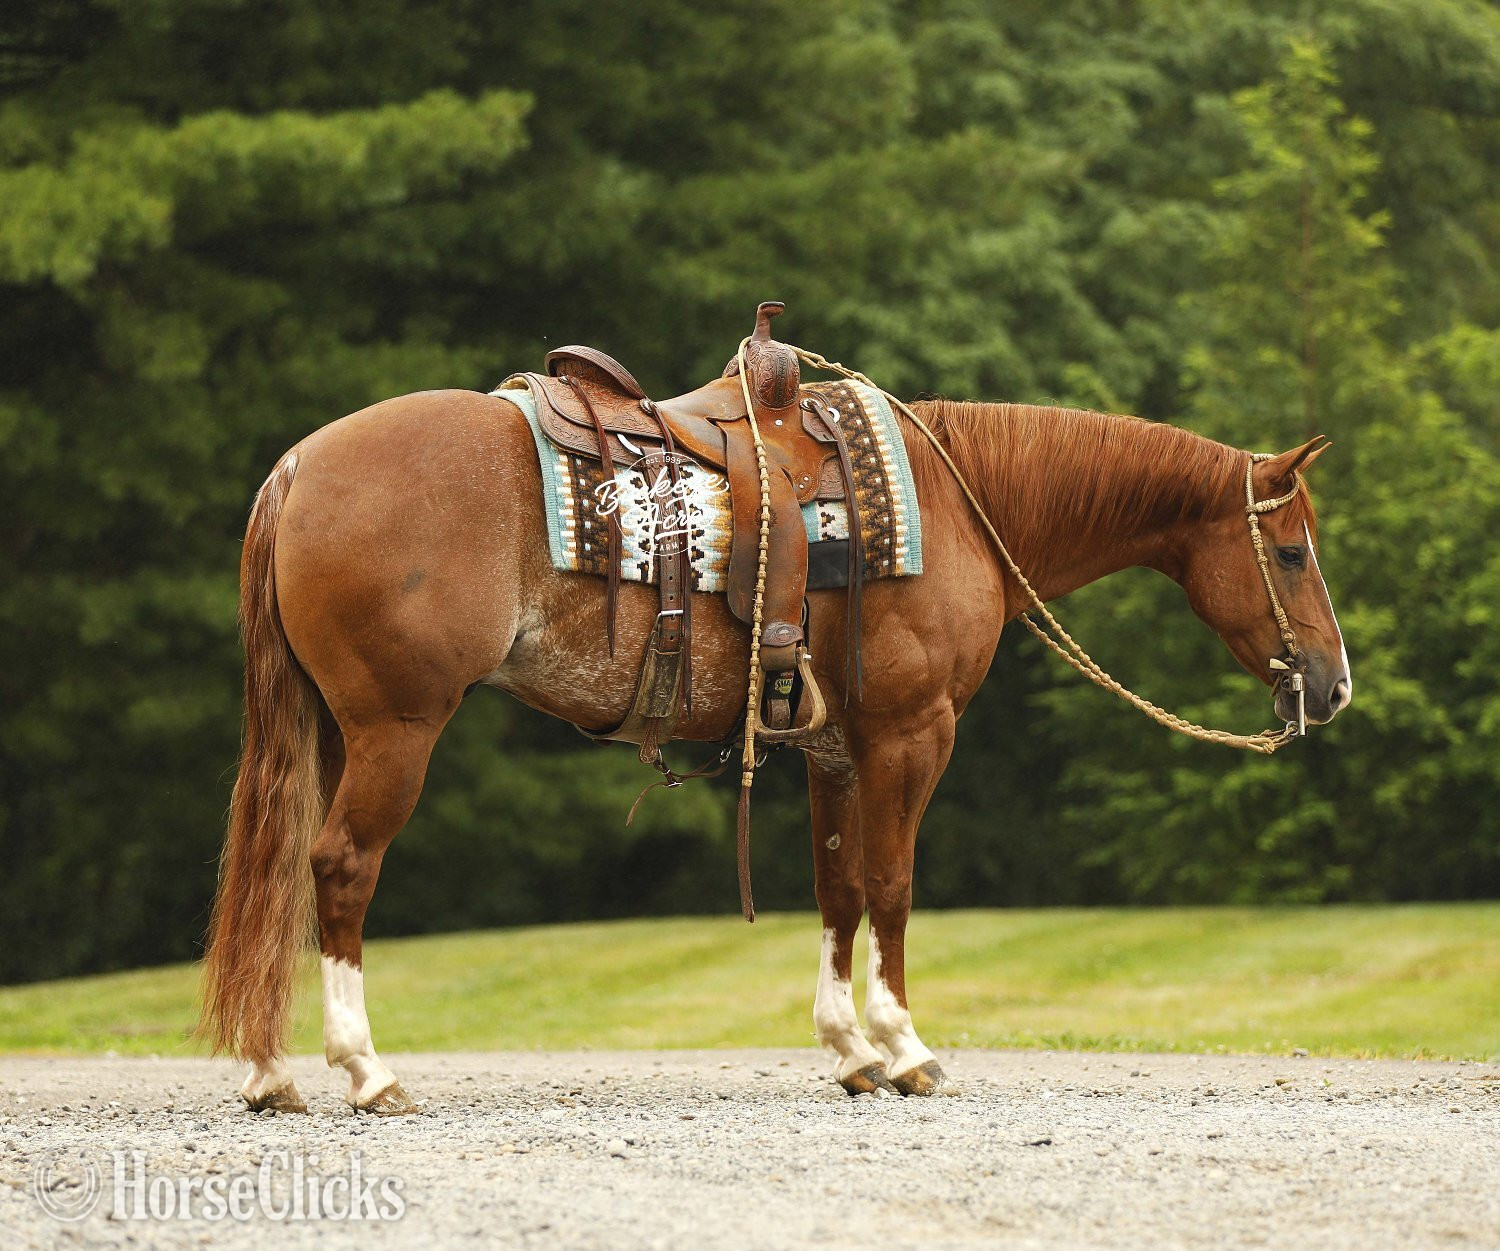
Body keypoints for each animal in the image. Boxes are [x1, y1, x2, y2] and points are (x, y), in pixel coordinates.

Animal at [198, 385, 1351, 1113]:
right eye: (1293, 551)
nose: (1334, 684)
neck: (953, 506)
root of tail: (298, 467)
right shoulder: (911, 733)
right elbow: (892, 883)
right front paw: (907, 1047)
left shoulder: (834, 749)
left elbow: (839, 889)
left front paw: (850, 1051)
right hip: (396, 730)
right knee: (340, 869)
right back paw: (367, 1072)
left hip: (332, 730)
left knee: (285, 877)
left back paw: (270, 1074)